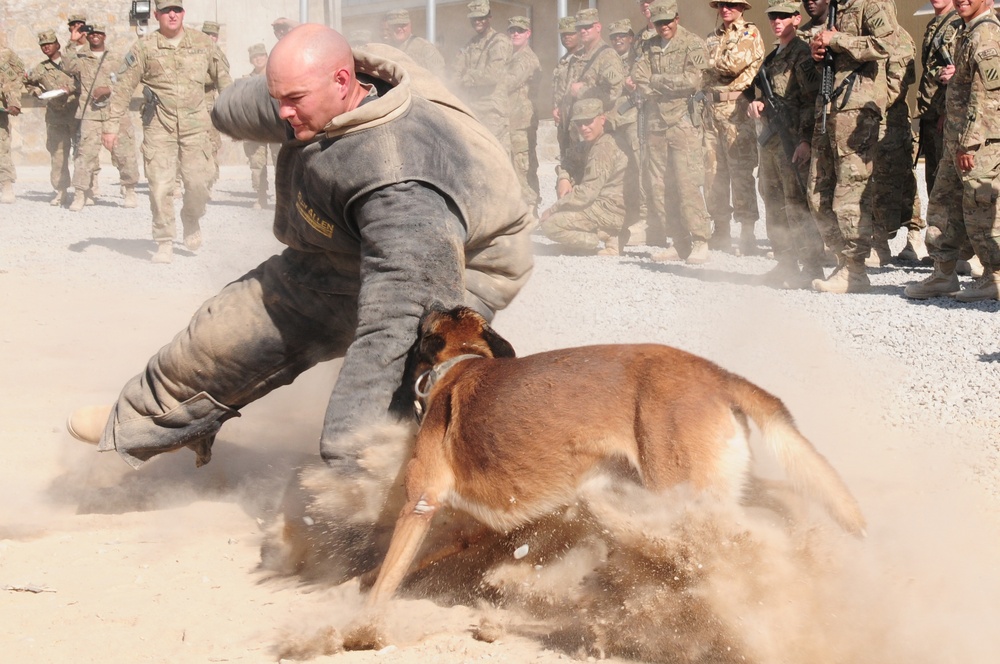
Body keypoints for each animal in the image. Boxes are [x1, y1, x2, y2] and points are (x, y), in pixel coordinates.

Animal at [356, 304, 864, 632]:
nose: (429, 301)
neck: (460, 365)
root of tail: (716, 374)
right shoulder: (470, 528)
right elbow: (398, 567)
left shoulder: (420, 503)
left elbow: (388, 577)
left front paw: (358, 625)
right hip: (714, 485)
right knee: (782, 502)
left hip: (680, 491)